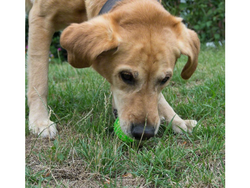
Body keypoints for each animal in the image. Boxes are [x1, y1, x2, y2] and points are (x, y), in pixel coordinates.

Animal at [26, 0, 200, 140]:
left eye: (165, 79)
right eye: (126, 76)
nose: (144, 133)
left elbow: (159, 98)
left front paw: (176, 120)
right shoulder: (41, 18)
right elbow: (38, 79)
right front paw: (39, 120)